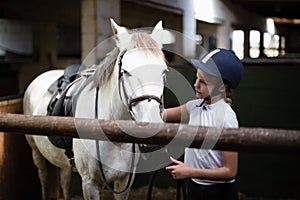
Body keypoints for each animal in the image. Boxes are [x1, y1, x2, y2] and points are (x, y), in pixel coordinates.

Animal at [23, 18, 169, 198]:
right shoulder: (89, 183)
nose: (153, 125)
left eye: (163, 72)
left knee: (64, 180)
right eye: (125, 71)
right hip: (36, 152)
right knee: (43, 177)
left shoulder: (124, 181)